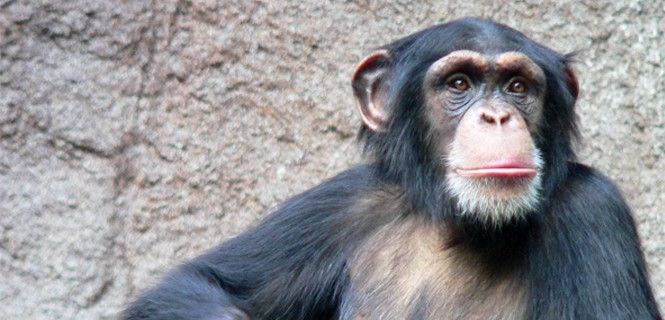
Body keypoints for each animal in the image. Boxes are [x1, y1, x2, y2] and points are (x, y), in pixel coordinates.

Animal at [122, 17, 660, 320]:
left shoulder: (594, 211)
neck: (463, 227)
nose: (497, 116)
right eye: (459, 83)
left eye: (517, 87)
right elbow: (199, 284)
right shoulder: (344, 201)